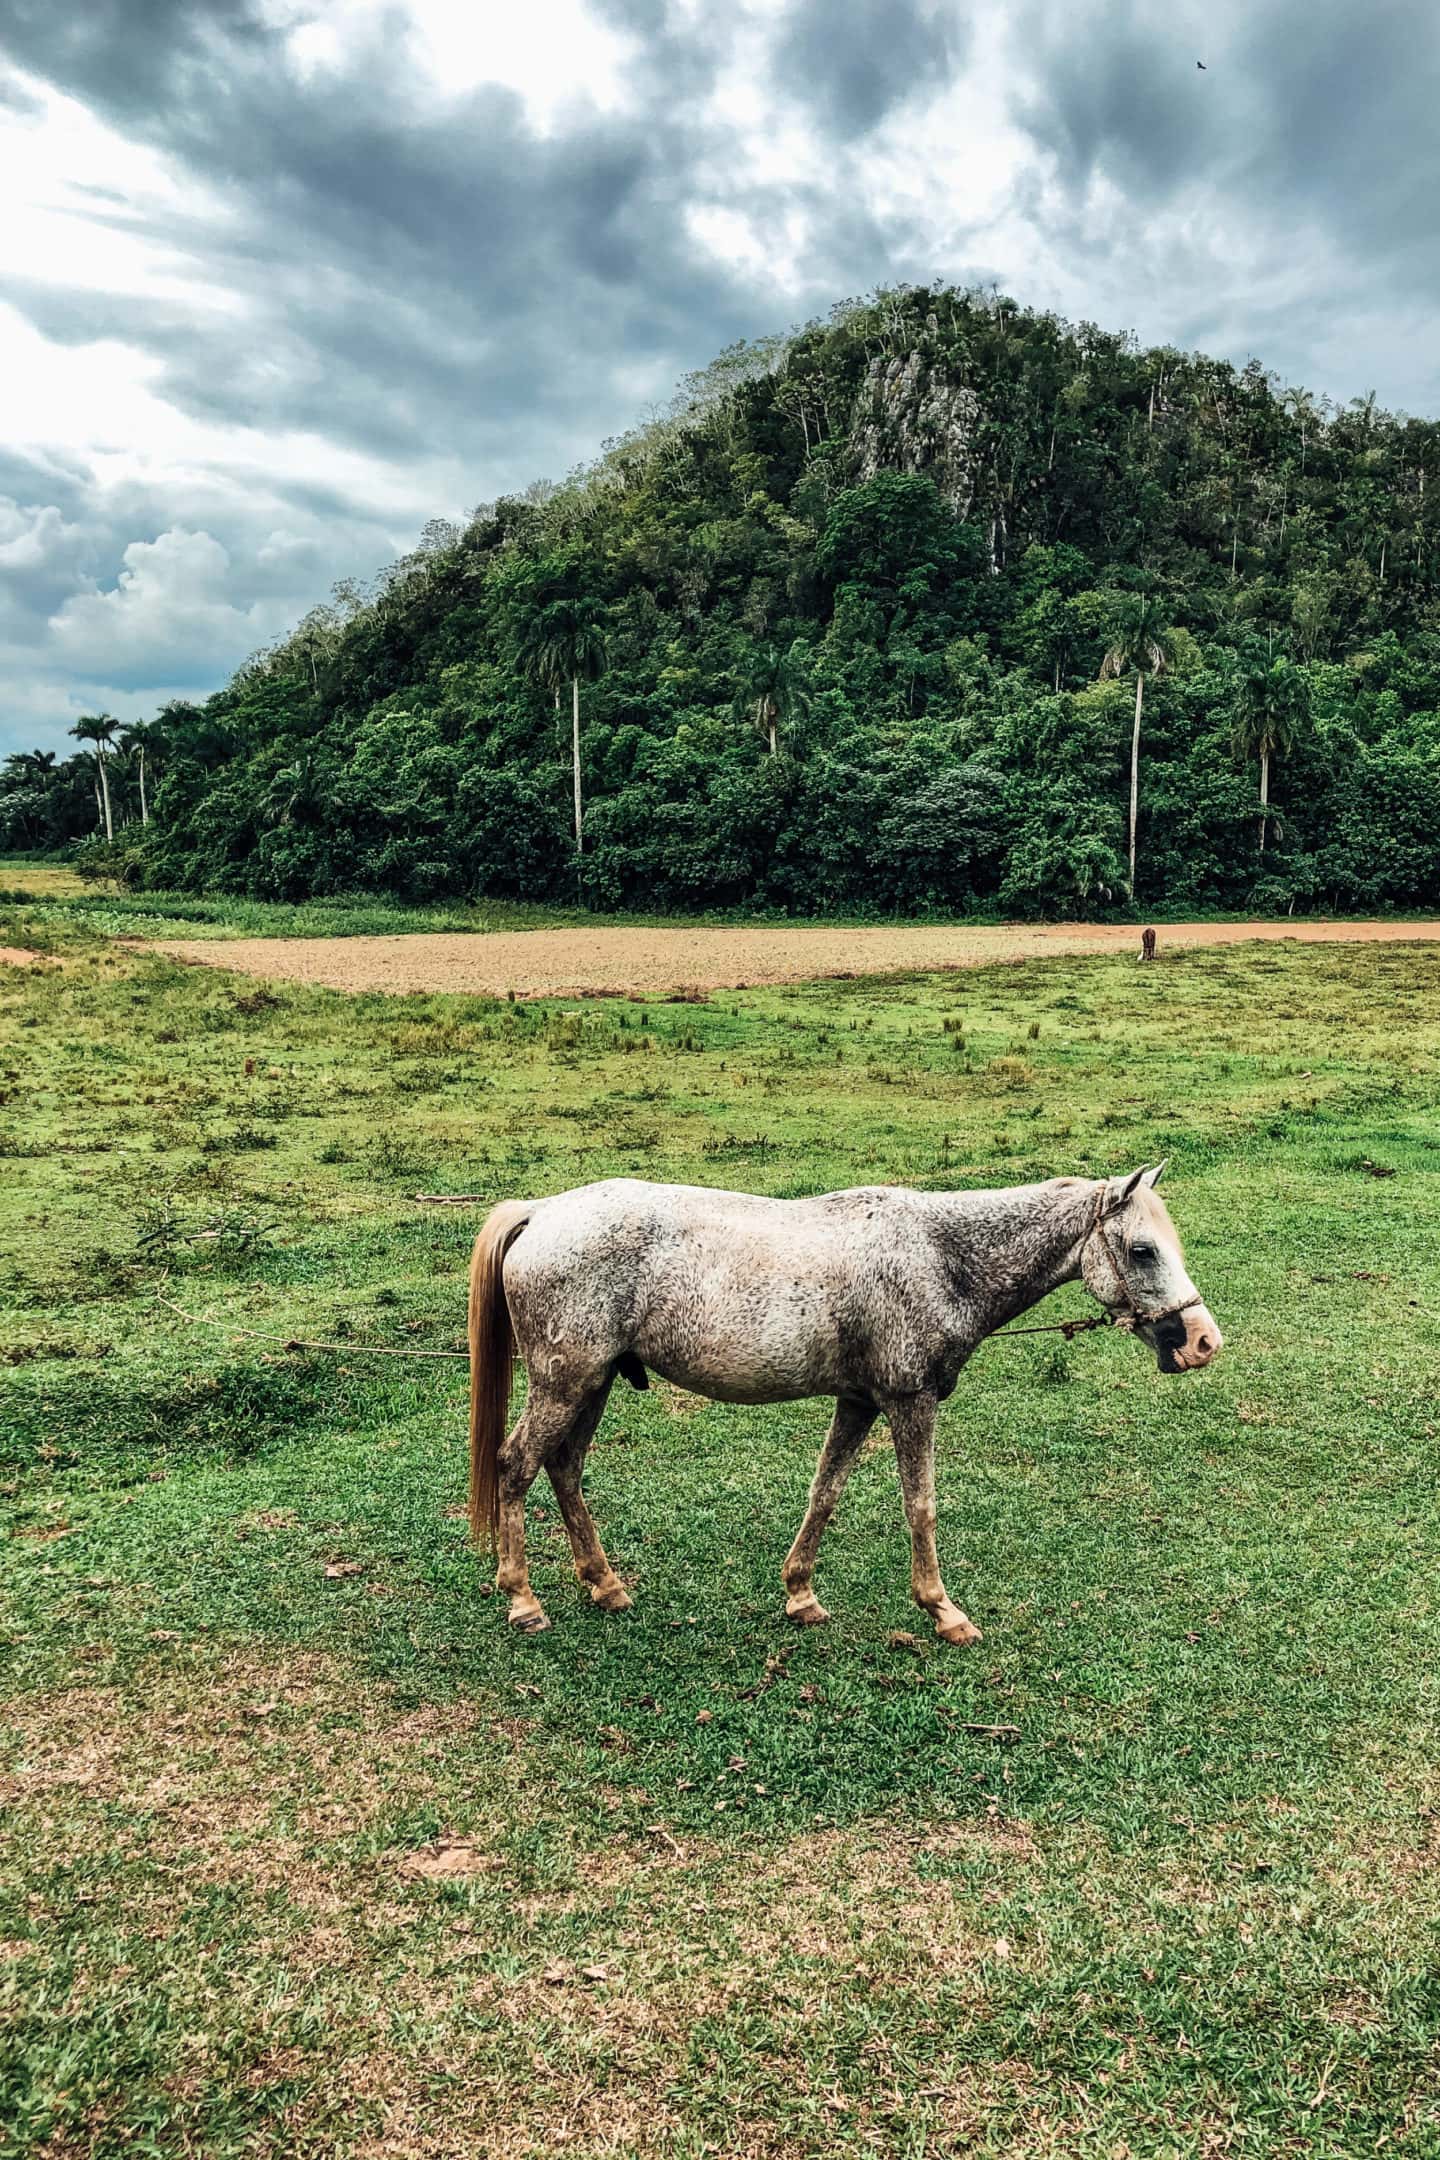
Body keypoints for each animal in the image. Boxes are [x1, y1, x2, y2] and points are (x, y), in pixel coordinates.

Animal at [468, 1175, 1226, 1641]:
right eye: (1142, 1250)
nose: (1202, 1341)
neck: (939, 1257)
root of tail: (542, 1212)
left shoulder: (859, 1402)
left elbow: (824, 1492)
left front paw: (800, 1593)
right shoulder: (908, 1401)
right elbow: (919, 1505)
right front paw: (942, 1610)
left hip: (591, 1383)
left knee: (564, 1468)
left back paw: (605, 1584)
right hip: (564, 1383)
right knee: (516, 1466)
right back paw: (522, 1598)